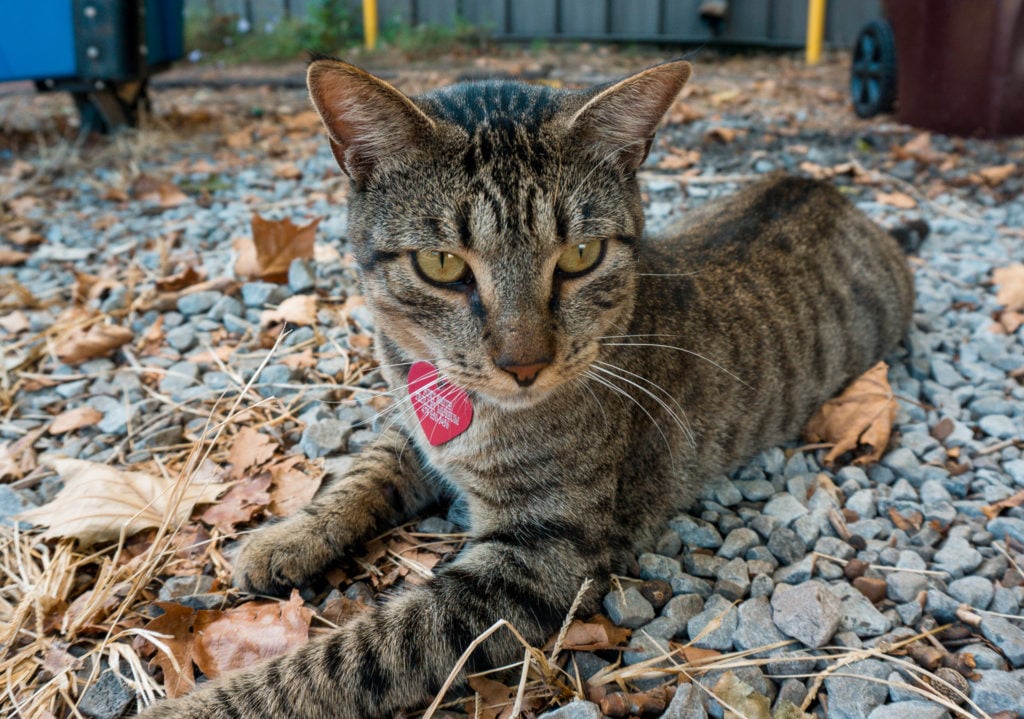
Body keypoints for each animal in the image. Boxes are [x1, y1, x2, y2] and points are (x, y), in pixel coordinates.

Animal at [142, 59, 913, 716]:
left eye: (581, 256)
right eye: (441, 264)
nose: (523, 364)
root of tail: (825, 185)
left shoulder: (538, 558)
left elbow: (357, 653)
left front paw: (205, 707)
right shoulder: (414, 427)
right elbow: (359, 476)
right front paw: (289, 536)